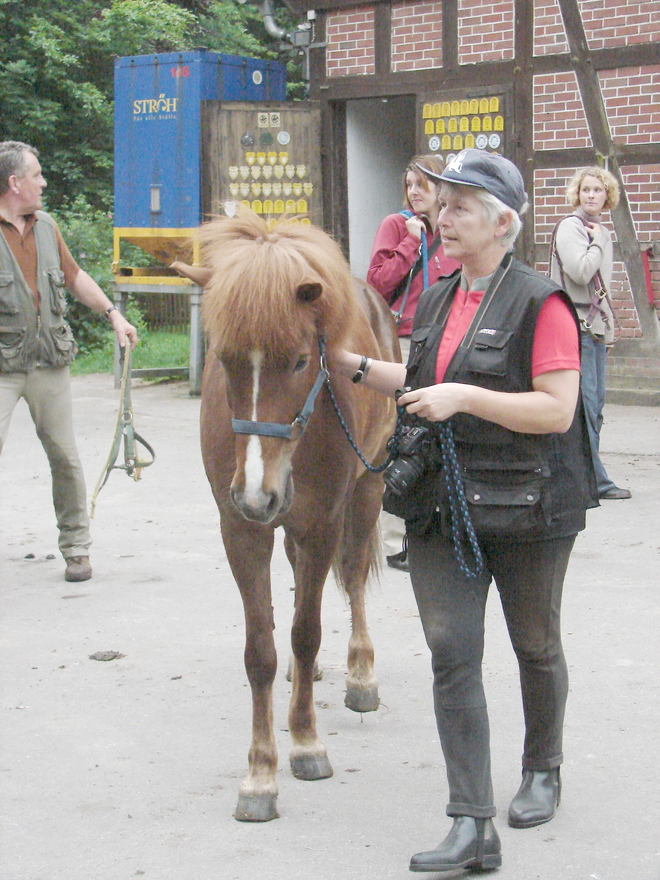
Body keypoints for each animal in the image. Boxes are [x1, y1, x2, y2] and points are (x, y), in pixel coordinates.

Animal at [174, 210, 398, 820]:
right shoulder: (241, 531)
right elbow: (262, 650)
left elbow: (305, 632)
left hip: (367, 492)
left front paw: (304, 743)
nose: (257, 493)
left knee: (353, 579)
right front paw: (259, 774)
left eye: (300, 360)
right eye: (224, 359)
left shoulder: (321, 524)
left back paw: (361, 674)